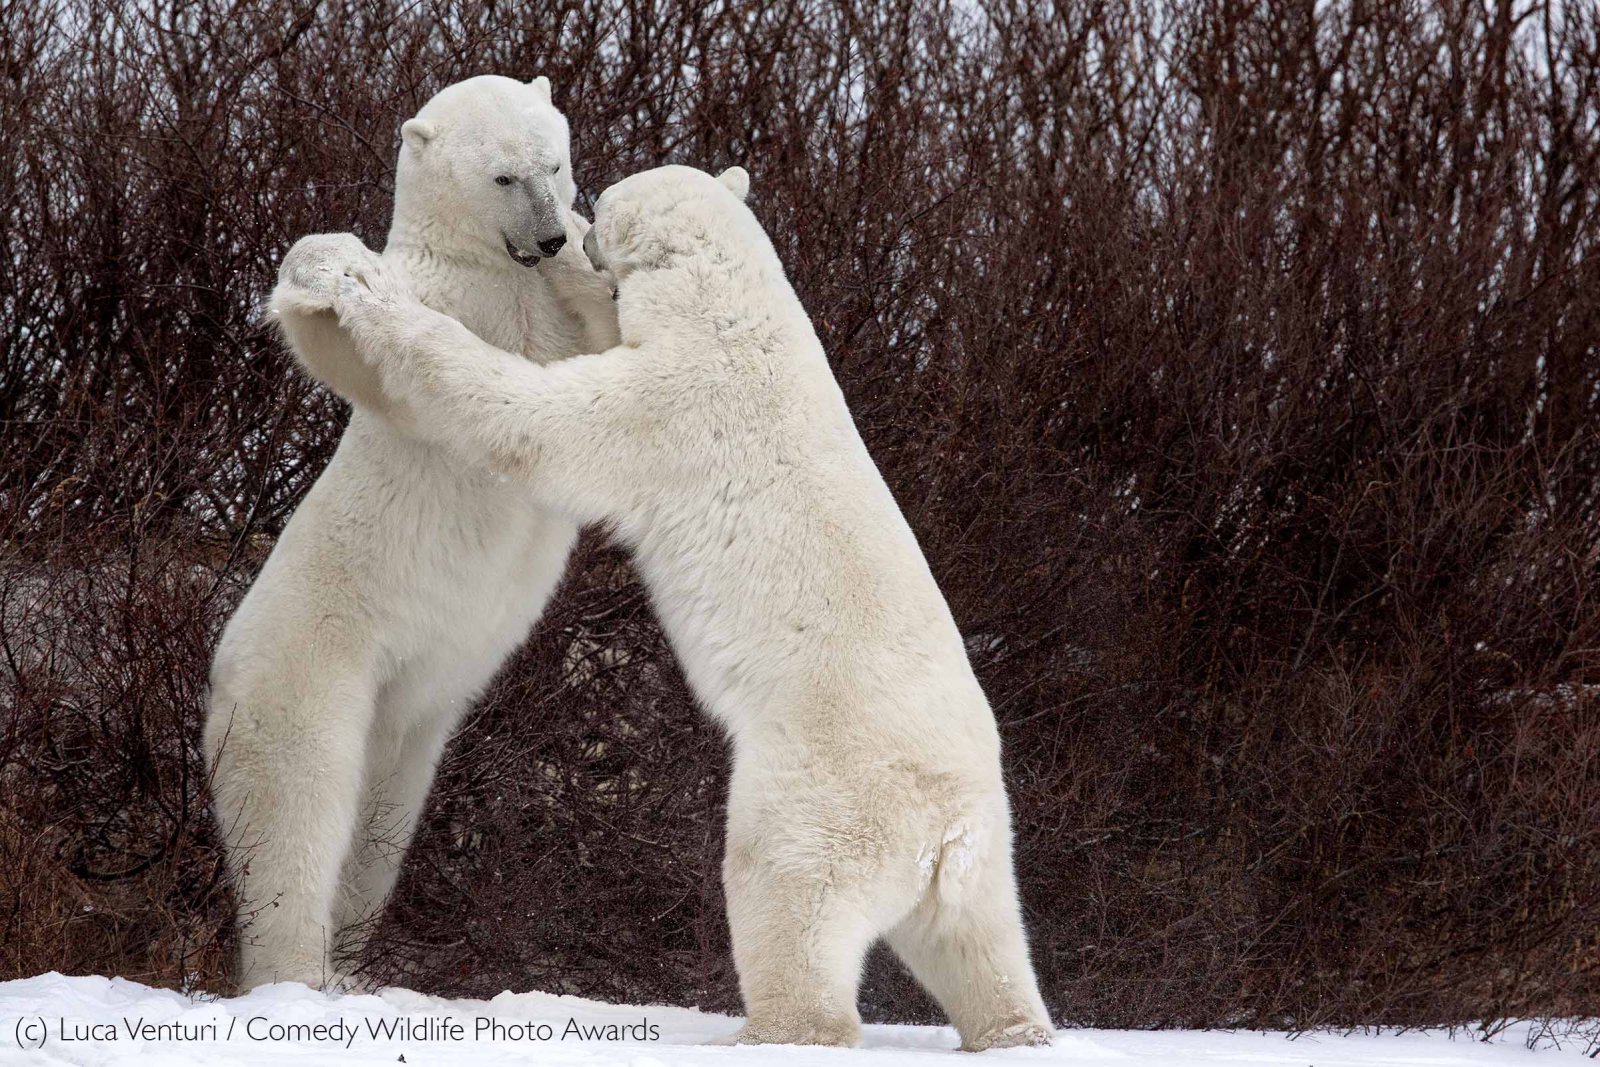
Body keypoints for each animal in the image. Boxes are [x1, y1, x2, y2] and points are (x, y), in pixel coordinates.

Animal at [203, 75, 614, 991]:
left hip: (413, 718)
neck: (494, 270)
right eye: (502, 176)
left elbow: (609, 347)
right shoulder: (447, 301)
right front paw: (333, 268)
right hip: (309, 672)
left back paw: (355, 961)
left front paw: (599, 253)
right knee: (296, 816)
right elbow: (356, 348)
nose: (549, 234)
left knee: (381, 828)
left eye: (554, 162)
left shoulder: (545, 309)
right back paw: (297, 973)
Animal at [275, 167, 1049, 1049]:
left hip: (821, 793)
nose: (574, 230)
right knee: (981, 943)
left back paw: (769, 1028)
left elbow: (534, 418)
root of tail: (943, 829)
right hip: (985, 852)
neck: (737, 312)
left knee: (785, 890)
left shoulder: (674, 404)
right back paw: (1015, 1028)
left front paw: (366, 293)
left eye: (607, 204)